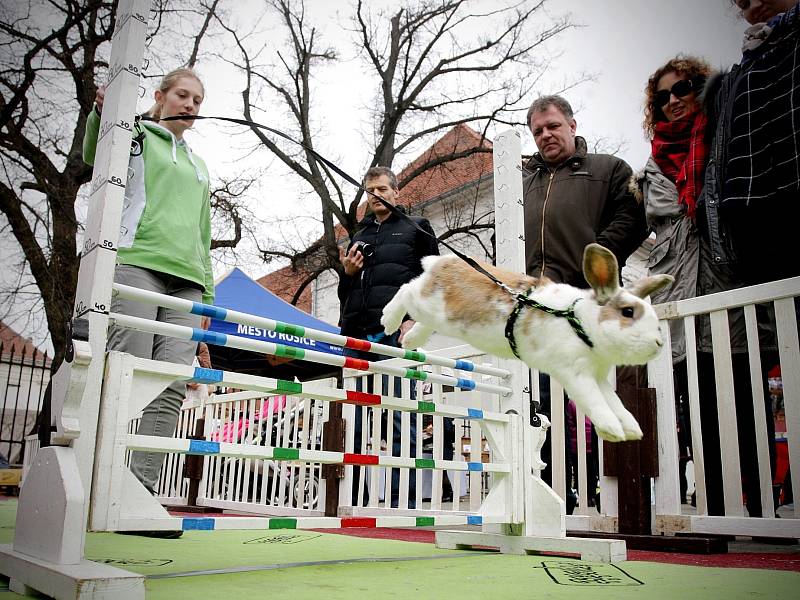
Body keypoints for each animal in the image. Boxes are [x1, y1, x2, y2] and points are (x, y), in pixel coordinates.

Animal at [382, 241, 676, 442]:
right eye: (628, 312)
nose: (658, 343)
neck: (579, 321)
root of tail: (440, 262)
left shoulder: (599, 377)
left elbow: (616, 403)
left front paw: (632, 430)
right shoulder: (576, 374)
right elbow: (595, 401)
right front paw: (612, 430)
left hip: (438, 315)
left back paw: (410, 340)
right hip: (426, 303)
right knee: (405, 290)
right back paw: (389, 320)